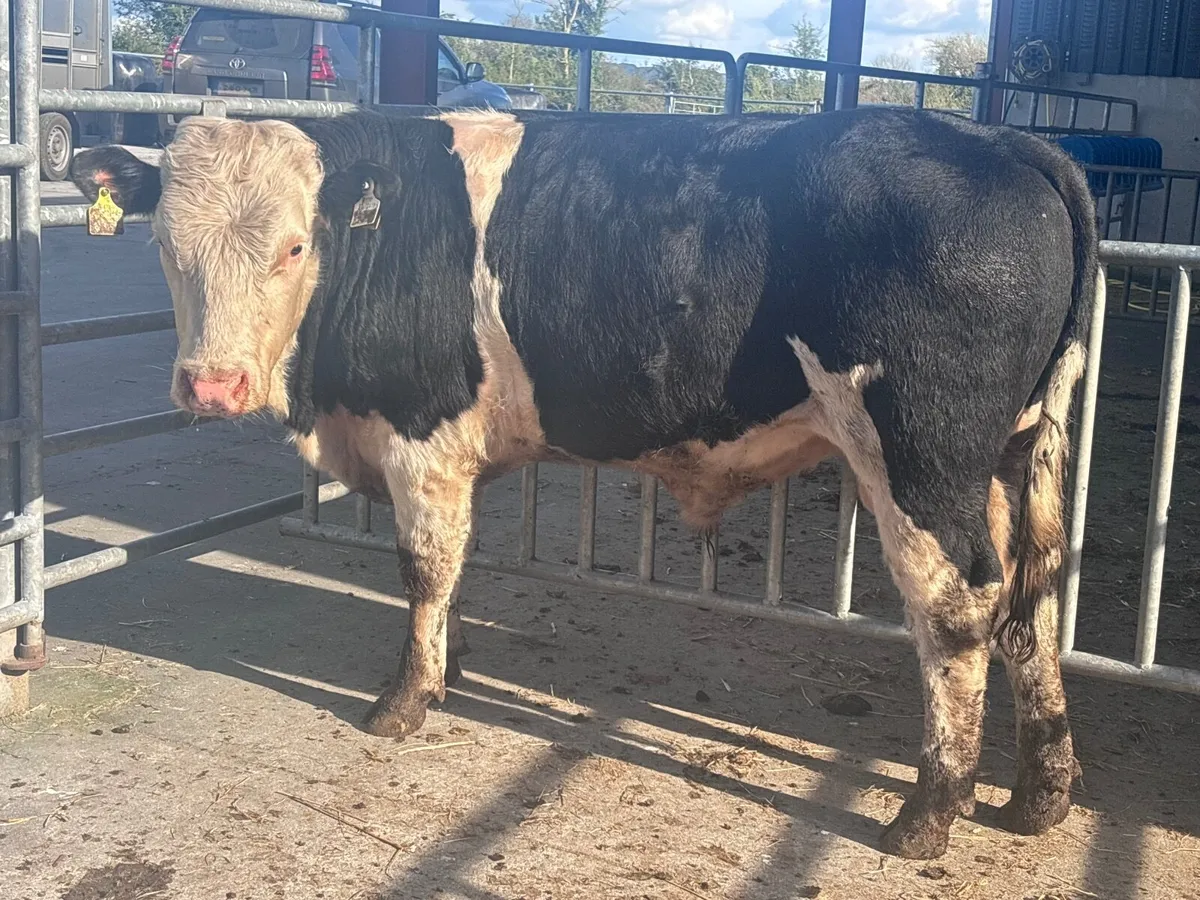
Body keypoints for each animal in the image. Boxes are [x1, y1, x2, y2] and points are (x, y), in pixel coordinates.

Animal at [71, 106, 1095, 860]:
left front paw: (404, 701)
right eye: (165, 246)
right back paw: (1037, 796)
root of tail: (1008, 142)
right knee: (1032, 597)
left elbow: (423, 569)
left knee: (958, 609)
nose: (211, 384)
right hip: (1009, 455)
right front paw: (448, 671)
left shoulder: (420, 439)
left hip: (921, 455)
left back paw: (927, 816)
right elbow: (456, 571)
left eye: (291, 247)